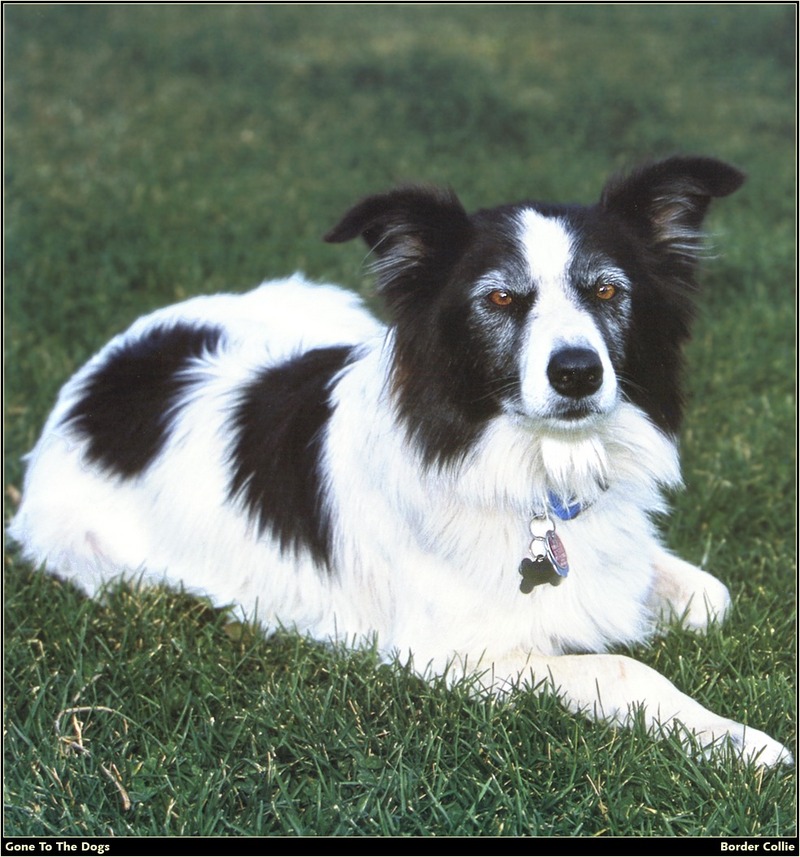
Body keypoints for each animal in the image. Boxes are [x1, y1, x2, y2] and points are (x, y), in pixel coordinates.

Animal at [7, 157, 792, 764]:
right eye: (500, 298)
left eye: (605, 290)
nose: (577, 373)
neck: (531, 467)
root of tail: (100, 372)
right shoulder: (450, 655)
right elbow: (625, 670)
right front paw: (743, 744)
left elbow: (713, 595)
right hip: (99, 563)